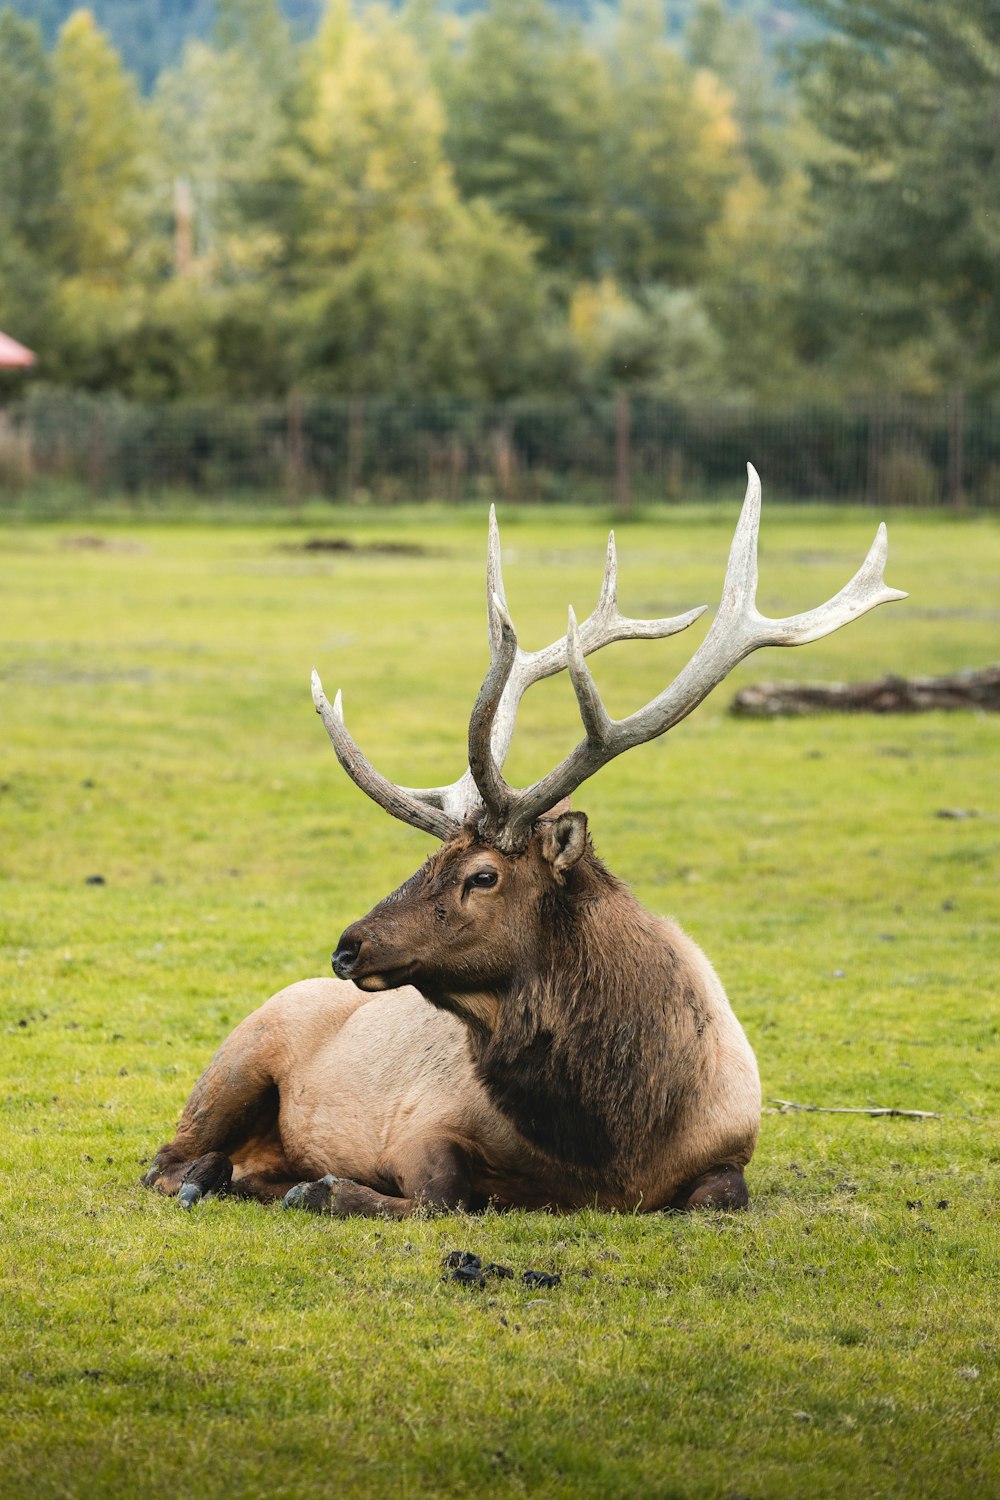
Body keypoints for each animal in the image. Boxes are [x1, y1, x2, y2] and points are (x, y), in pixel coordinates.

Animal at [142, 468, 905, 1218]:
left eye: (482, 875)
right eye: (428, 860)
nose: (348, 946)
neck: (612, 1145)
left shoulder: (731, 1147)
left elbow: (721, 1198)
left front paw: (316, 1186)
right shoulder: (421, 1125)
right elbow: (443, 1197)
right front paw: (326, 1187)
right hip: (236, 1058)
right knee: (163, 1161)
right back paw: (210, 1176)